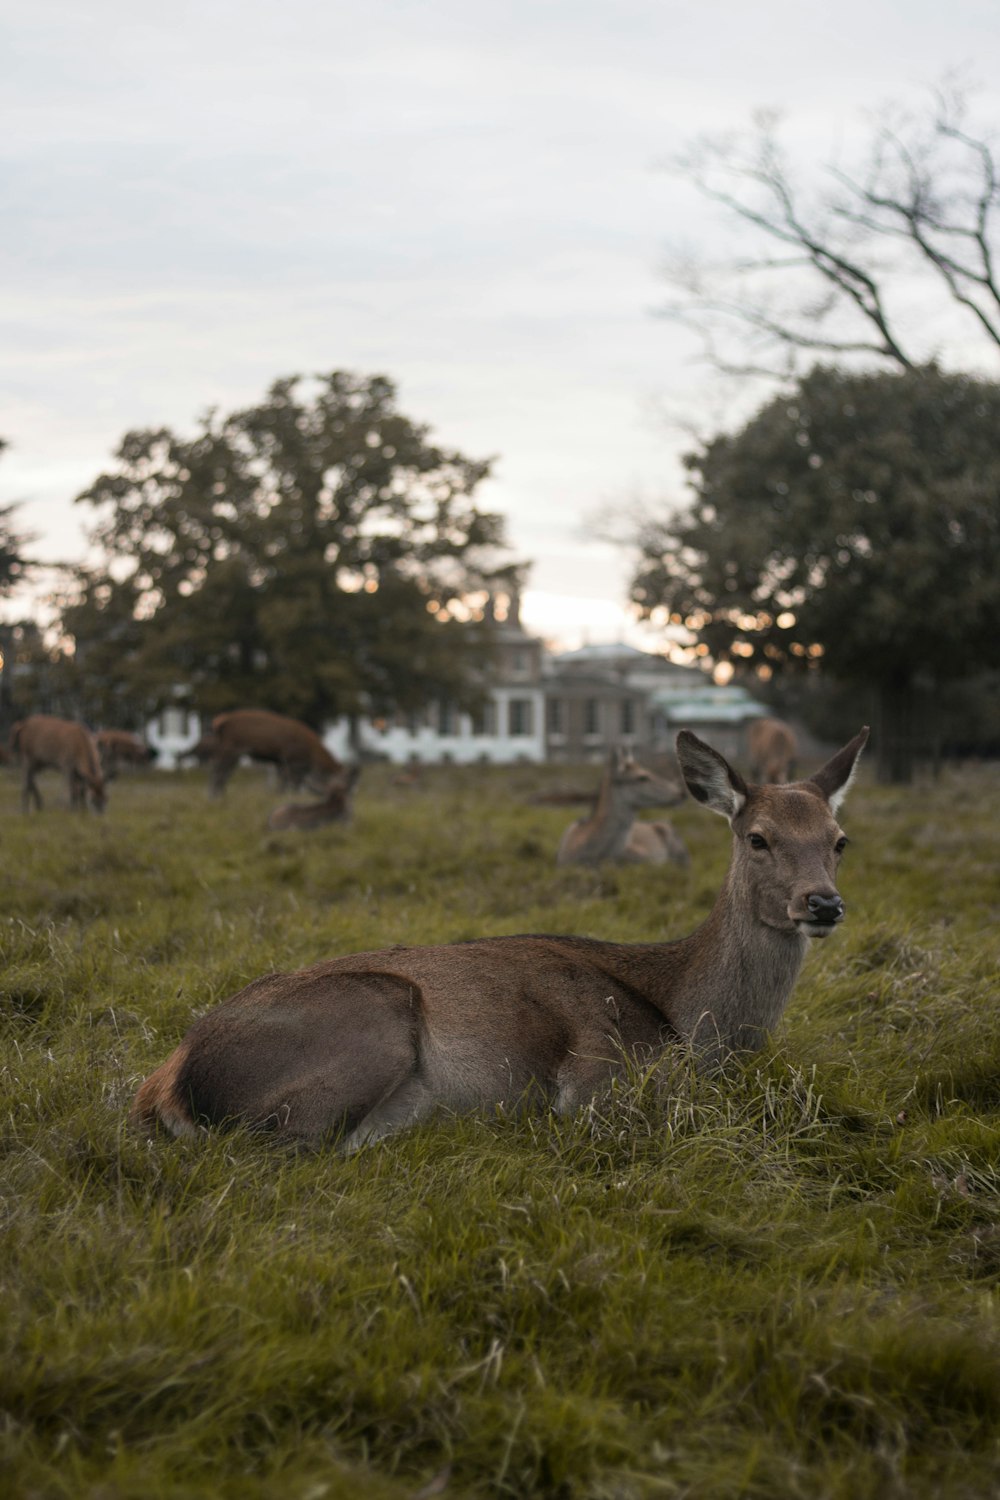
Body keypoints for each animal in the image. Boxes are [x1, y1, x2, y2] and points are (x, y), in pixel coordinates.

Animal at [193, 711, 346, 804]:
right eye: (335, 780)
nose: (335, 795)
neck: (312, 753)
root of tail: (218, 723)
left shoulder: (281, 761)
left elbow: (285, 781)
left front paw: (279, 795)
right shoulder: (292, 759)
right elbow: (292, 781)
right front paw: (289, 796)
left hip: (231, 750)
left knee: (222, 771)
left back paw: (219, 795)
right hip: (232, 747)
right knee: (219, 770)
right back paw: (214, 796)